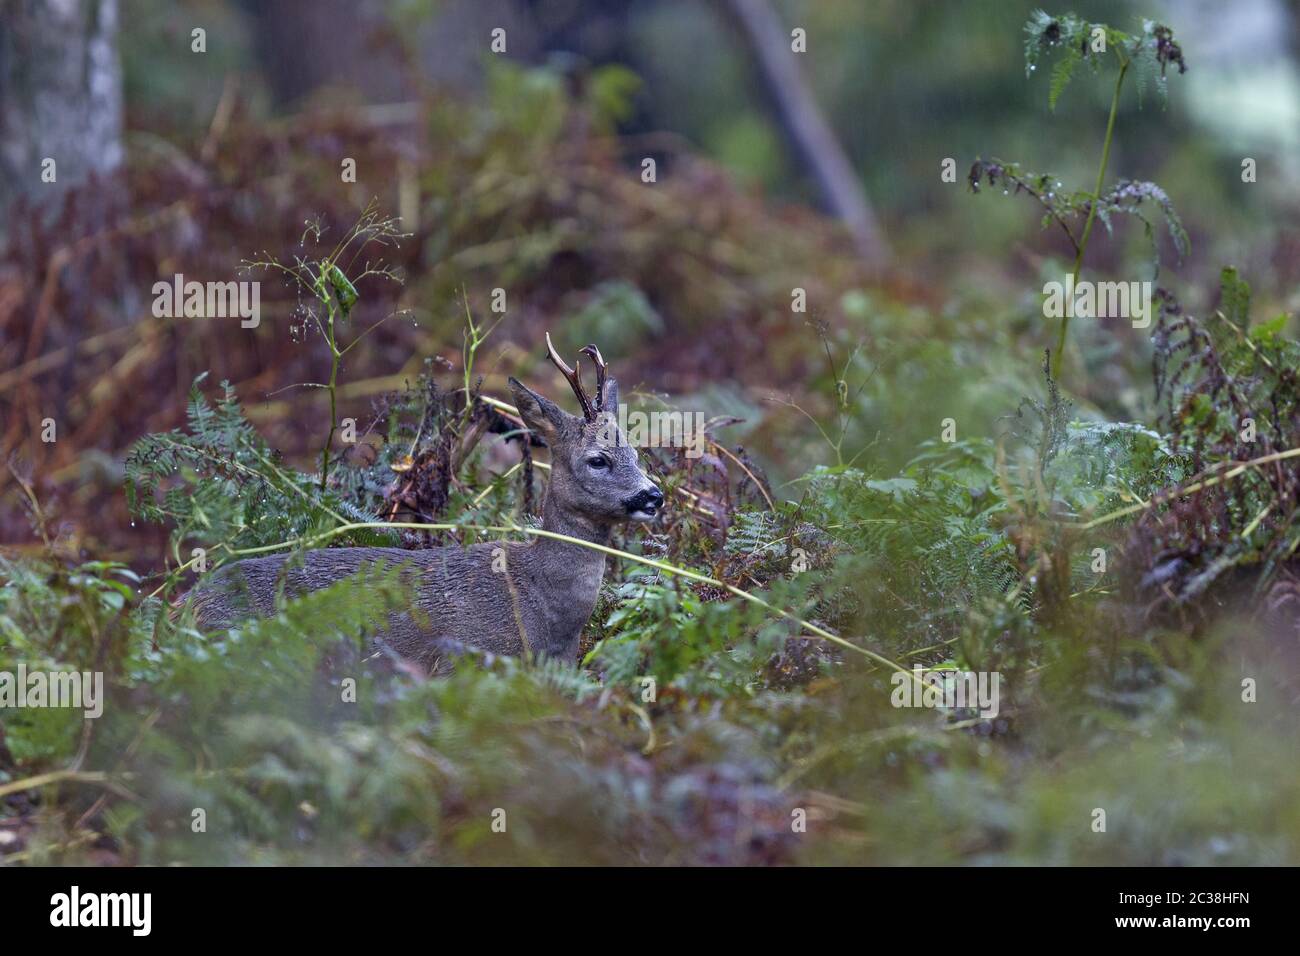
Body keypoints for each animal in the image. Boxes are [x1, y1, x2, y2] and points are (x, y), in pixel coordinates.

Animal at [191, 335, 660, 671]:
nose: (653, 495)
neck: (541, 607)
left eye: (637, 455)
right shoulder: (461, 655)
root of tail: (188, 604)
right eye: (597, 459)